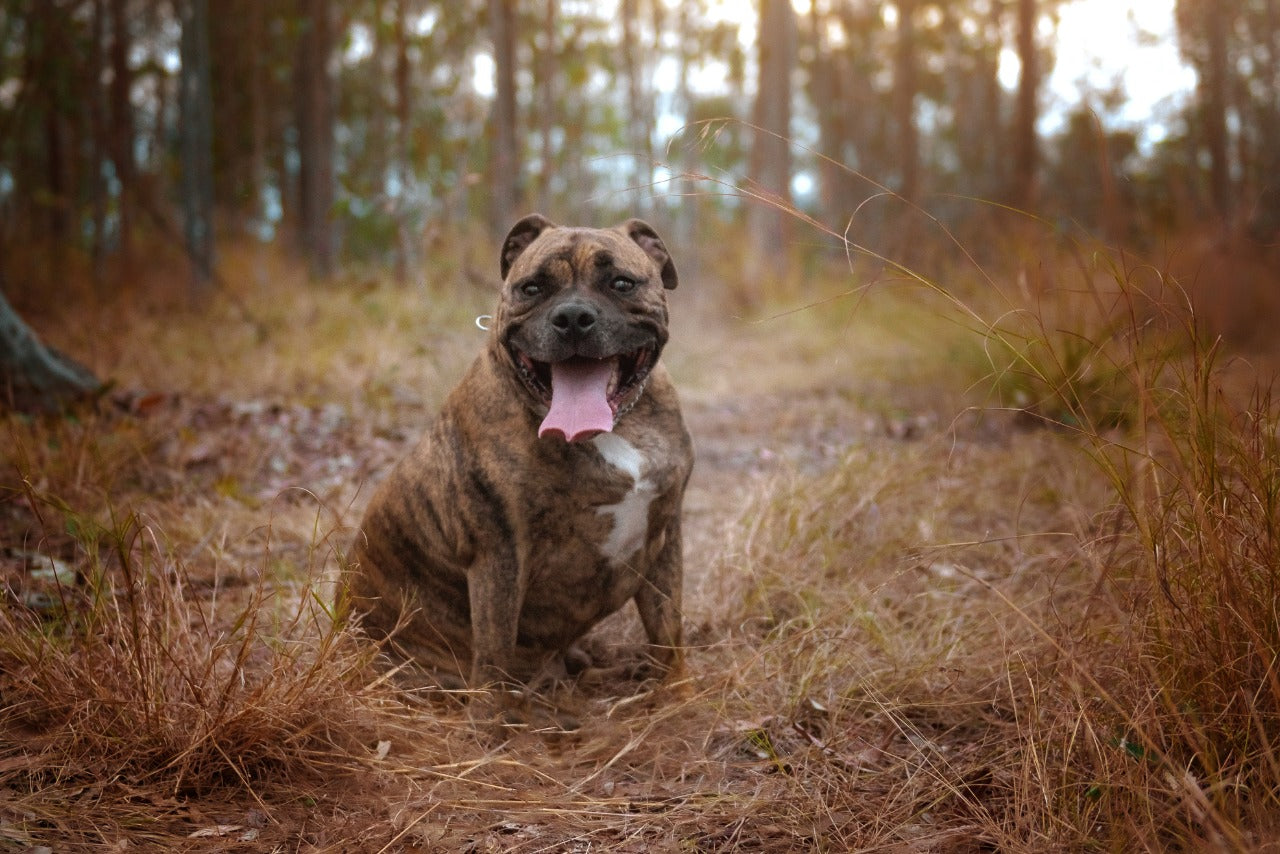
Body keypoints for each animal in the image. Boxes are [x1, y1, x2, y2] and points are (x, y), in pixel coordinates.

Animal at [345, 215, 696, 722]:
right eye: (532, 288)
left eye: (621, 283)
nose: (572, 317)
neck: (611, 431)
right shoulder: (498, 556)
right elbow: (493, 652)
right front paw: (487, 729)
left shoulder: (665, 533)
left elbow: (668, 630)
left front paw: (679, 697)